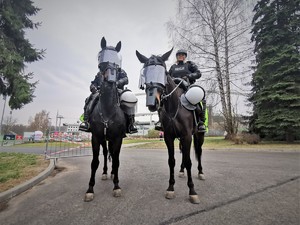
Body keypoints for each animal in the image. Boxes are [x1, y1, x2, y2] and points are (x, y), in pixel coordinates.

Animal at [84, 37, 126, 202]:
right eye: (101, 60)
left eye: (117, 62)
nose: (112, 78)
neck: (108, 110)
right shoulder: (96, 137)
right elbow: (94, 162)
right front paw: (90, 189)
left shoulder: (117, 138)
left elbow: (117, 160)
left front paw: (117, 186)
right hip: (104, 139)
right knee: (105, 153)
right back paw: (105, 172)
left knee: (113, 156)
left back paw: (113, 174)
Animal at [137, 49, 205, 204]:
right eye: (145, 73)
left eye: (163, 72)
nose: (152, 103)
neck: (174, 106)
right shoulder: (169, 137)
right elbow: (172, 161)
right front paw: (171, 188)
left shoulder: (187, 136)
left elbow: (189, 161)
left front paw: (192, 191)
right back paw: (181, 171)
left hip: (198, 135)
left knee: (198, 152)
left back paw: (201, 172)